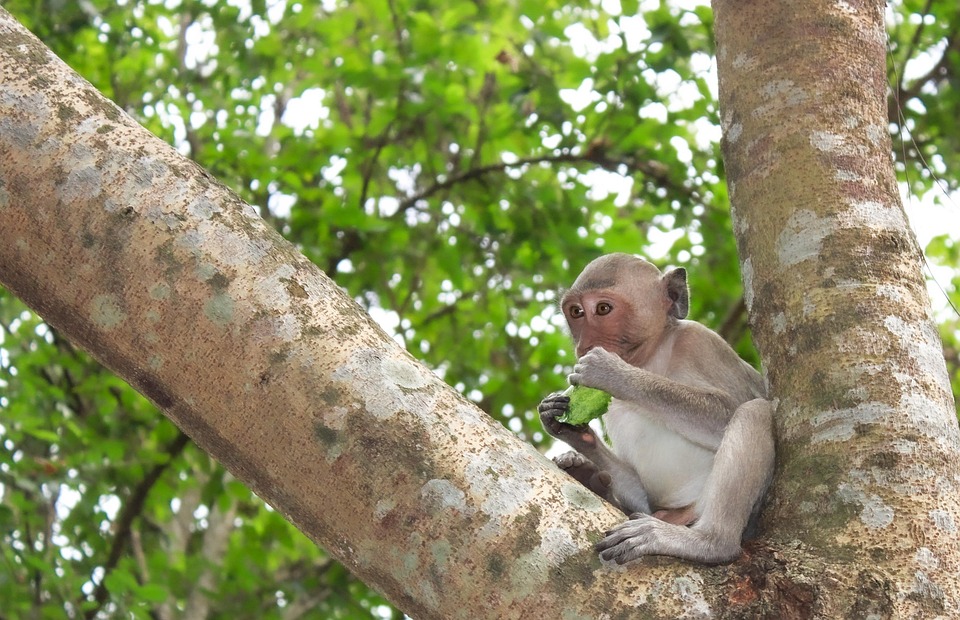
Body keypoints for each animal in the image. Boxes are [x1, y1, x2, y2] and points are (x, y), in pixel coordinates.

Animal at [538, 253, 774, 564]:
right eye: (576, 312)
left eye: (603, 309)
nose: (585, 345)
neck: (649, 360)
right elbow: (640, 491)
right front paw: (569, 429)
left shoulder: (700, 342)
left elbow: (729, 410)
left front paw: (612, 373)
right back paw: (587, 476)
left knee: (754, 411)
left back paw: (708, 542)